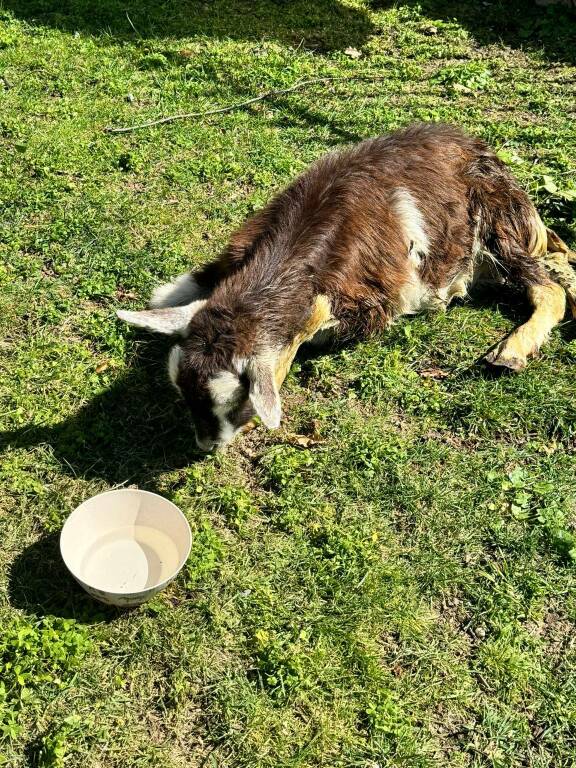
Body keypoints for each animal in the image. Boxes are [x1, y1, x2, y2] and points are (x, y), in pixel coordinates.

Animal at [117, 123, 576, 452]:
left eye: (234, 401)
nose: (205, 446)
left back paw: (511, 352)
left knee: (548, 287)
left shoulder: (375, 303)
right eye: (182, 394)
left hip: (498, 223)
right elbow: (178, 290)